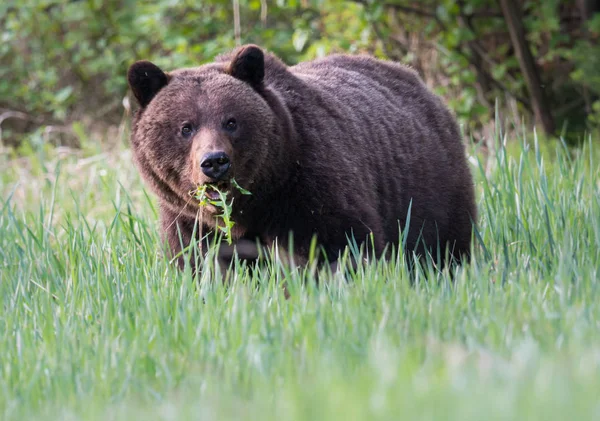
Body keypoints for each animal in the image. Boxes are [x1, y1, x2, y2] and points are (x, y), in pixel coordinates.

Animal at [127, 44, 478, 274]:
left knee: (443, 247)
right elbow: (202, 264)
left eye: (231, 121)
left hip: (432, 190)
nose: (214, 162)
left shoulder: (307, 189)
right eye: (185, 127)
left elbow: (339, 247)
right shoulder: (188, 221)